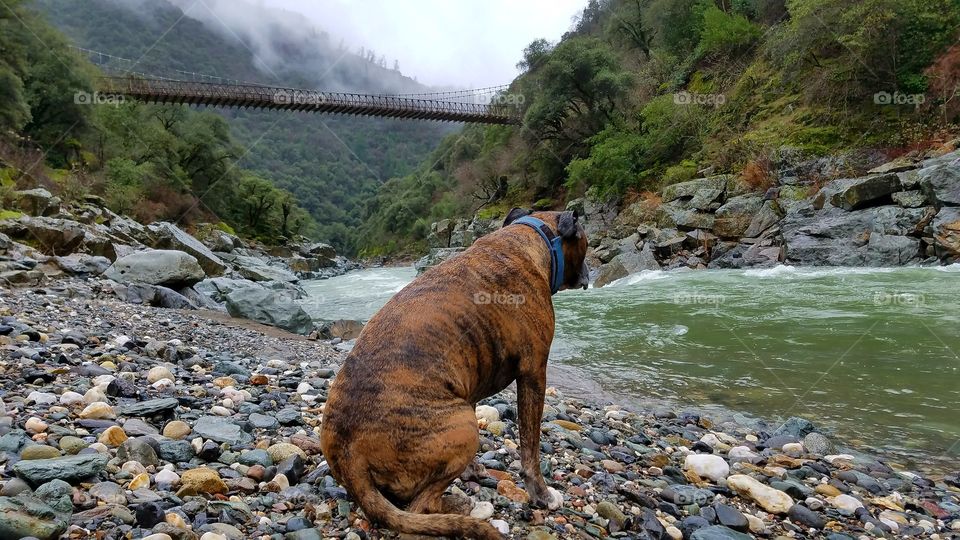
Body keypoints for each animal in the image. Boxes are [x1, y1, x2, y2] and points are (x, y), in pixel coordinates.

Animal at [322, 209, 588, 536]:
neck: (528, 239)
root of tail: (348, 458)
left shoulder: (469, 385)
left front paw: (473, 470)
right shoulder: (534, 374)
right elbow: (530, 448)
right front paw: (542, 494)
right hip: (464, 428)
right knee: (422, 505)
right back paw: (463, 507)